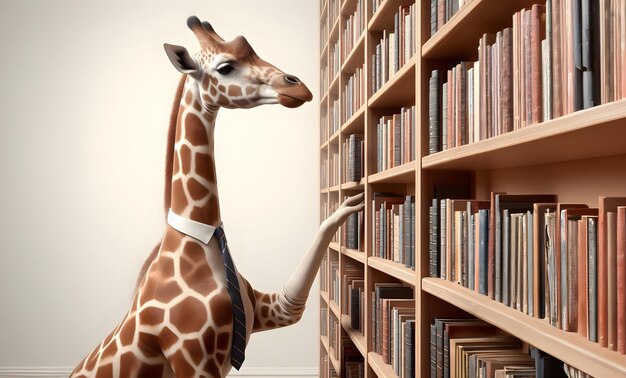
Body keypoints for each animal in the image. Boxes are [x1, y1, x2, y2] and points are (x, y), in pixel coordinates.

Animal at [70, 16, 364, 376]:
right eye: (225, 67)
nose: (297, 87)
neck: (206, 238)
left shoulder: (270, 309)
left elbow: (294, 299)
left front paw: (348, 205)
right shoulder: (193, 360)